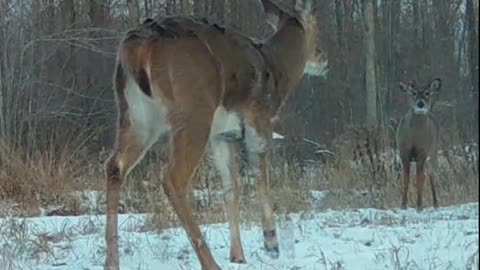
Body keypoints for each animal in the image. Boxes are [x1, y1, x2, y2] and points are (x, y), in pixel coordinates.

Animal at [102, 0, 324, 268]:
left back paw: (111, 261)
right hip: (193, 112)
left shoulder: (222, 136)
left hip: (137, 115)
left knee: (115, 166)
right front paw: (271, 243)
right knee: (173, 178)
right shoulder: (259, 120)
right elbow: (261, 177)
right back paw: (209, 262)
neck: (276, 69)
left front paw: (238, 255)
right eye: (316, 28)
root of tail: (138, 48)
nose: (322, 58)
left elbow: (231, 187)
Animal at [396, 78, 440, 211]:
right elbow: (406, 179)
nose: (420, 104)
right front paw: (403, 205)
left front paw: (419, 206)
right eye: (413, 93)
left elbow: (419, 179)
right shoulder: (404, 152)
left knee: (431, 175)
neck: (415, 137)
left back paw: (436, 204)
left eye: (427, 93)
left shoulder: (422, 151)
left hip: (433, 151)